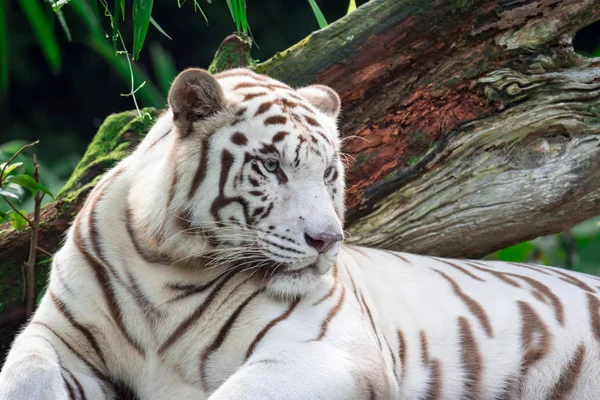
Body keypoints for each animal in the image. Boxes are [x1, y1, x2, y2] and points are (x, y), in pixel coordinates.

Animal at [1, 67, 600, 398]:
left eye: (330, 173)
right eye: (271, 167)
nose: (327, 241)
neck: (167, 267)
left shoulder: (324, 349)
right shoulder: (55, 334)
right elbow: (24, 375)